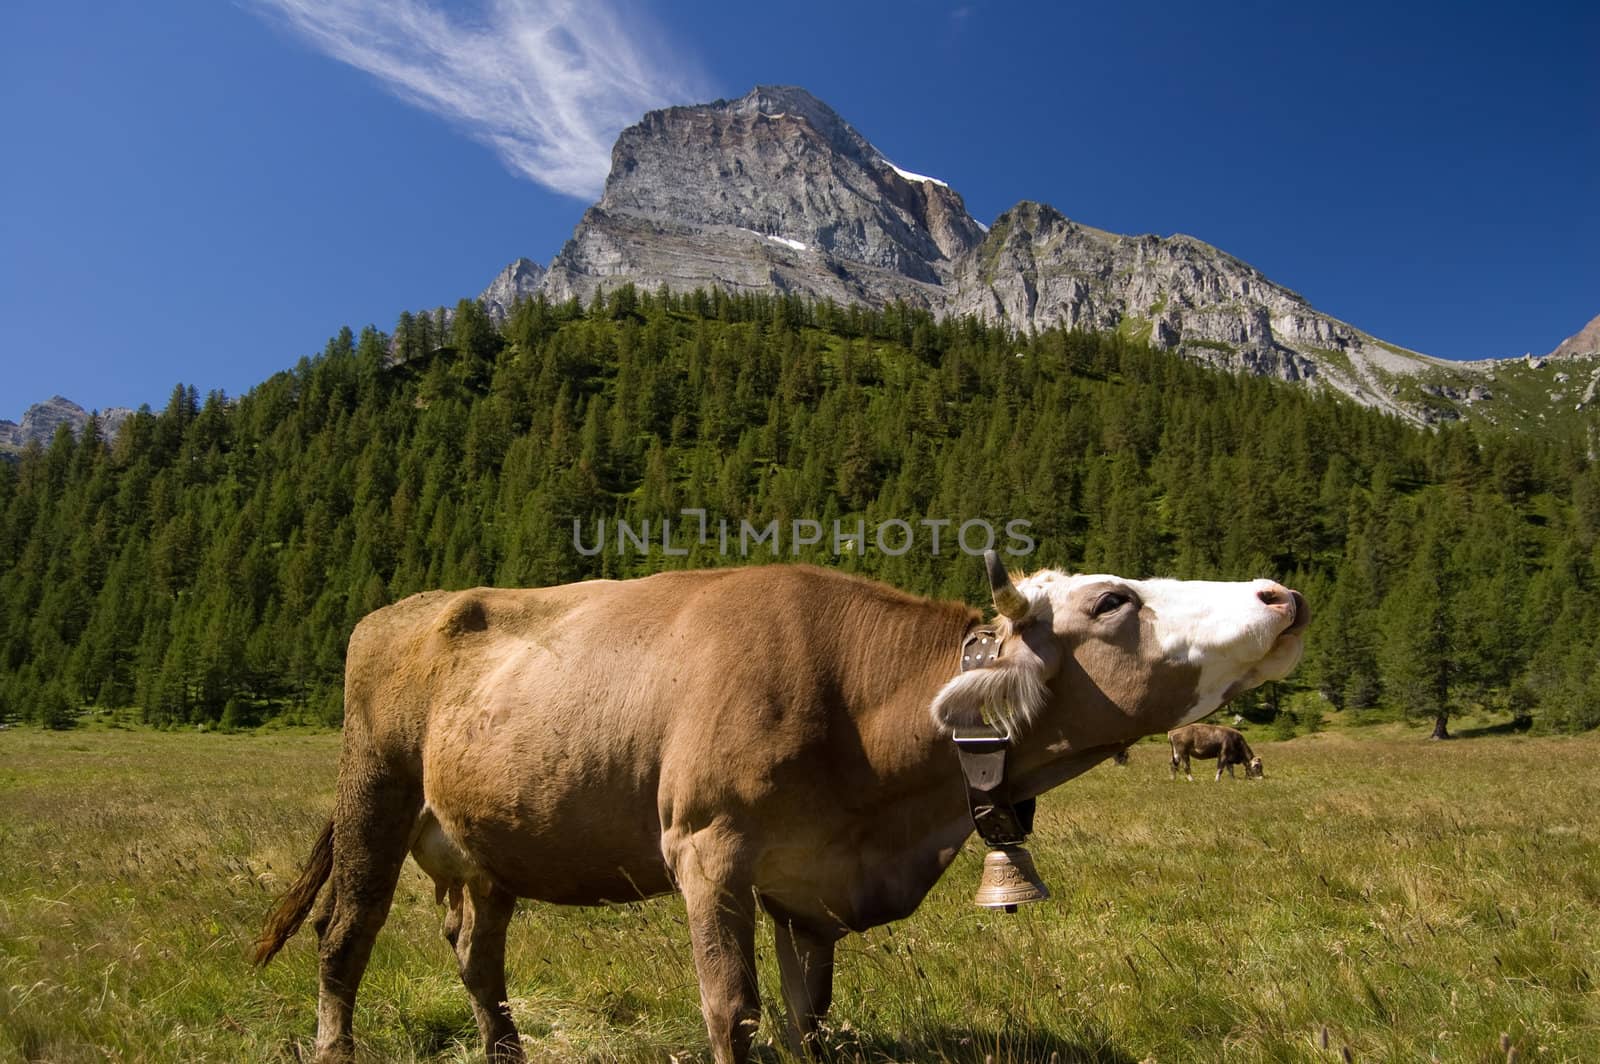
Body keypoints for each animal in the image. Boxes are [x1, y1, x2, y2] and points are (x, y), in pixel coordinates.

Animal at [249, 550, 1299, 1056]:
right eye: (1115, 600)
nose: (1281, 594)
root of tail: (409, 605)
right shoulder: (707, 849)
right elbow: (735, 1011)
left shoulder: (810, 883)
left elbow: (812, 1015)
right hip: (374, 792)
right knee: (344, 936)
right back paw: (336, 1048)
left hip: (488, 844)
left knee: (477, 955)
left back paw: (505, 1050)